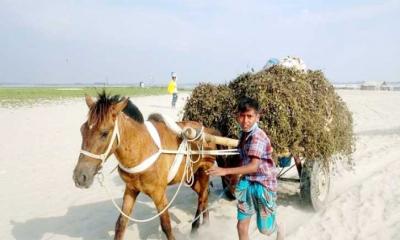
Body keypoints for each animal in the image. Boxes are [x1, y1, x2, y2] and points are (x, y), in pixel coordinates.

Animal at [73, 92, 220, 240]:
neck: (141, 149)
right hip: (190, 176)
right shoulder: (130, 189)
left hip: (205, 171)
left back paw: (198, 226)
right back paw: (204, 224)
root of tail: (207, 130)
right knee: (203, 193)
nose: (80, 177)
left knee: (202, 197)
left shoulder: (159, 194)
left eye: (104, 133)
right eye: (82, 130)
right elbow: (121, 224)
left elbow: (166, 226)